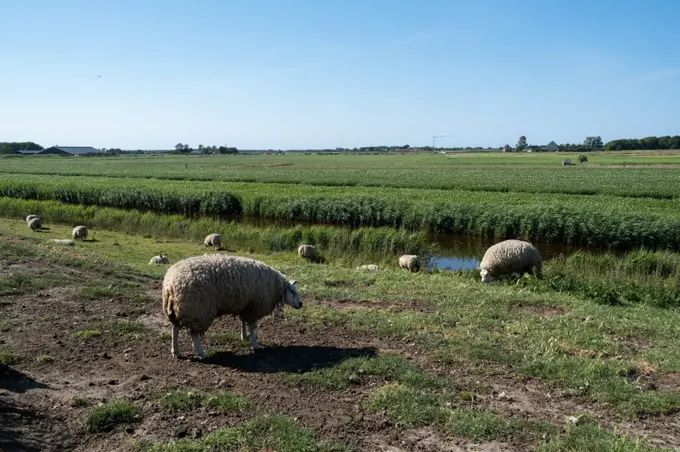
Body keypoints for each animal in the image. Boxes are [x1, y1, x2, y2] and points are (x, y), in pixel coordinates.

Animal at [161, 254, 302, 360]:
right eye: (293, 291)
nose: (301, 304)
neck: (275, 286)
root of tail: (170, 284)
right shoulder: (253, 308)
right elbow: (252, 327)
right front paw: (255, 344)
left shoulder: (245, 305)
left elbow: (243, 322)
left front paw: (244, 336)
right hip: (198, 311)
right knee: (193, 334)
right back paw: (201, 353)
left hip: (179, 310)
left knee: (175, 328)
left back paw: (176, 351)